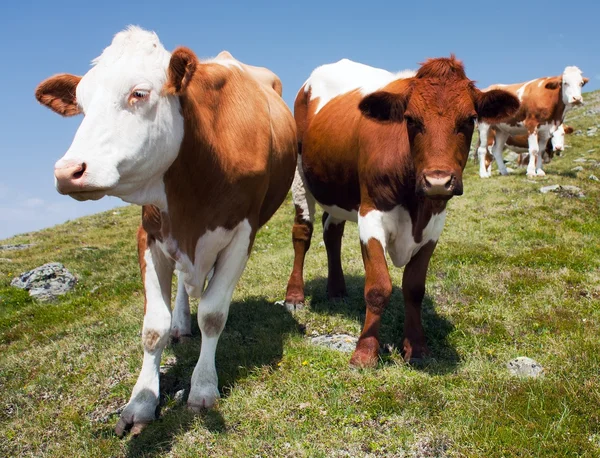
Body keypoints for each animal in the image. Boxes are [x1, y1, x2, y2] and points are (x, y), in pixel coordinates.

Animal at [34, 27, 296, 436]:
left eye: (139, 93)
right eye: (82, 104)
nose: (67, 171)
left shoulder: (243, 234)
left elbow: (213, 314)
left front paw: (203, 387)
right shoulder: (150, 234)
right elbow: (152, 327)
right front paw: (141, 401)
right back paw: (181, 323)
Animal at [286, 55, 520, 366]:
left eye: (470, 119)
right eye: (410, 119)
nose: (437, 180)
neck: (415, 206)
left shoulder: (434, 224)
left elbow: (414, 288)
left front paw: (417, 347)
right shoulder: (370, 215)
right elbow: (378, 288)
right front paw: (364, 353)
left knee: (331, 232)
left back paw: (336, 290)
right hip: (300, 175)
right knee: (303, 233)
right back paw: (294, 296)